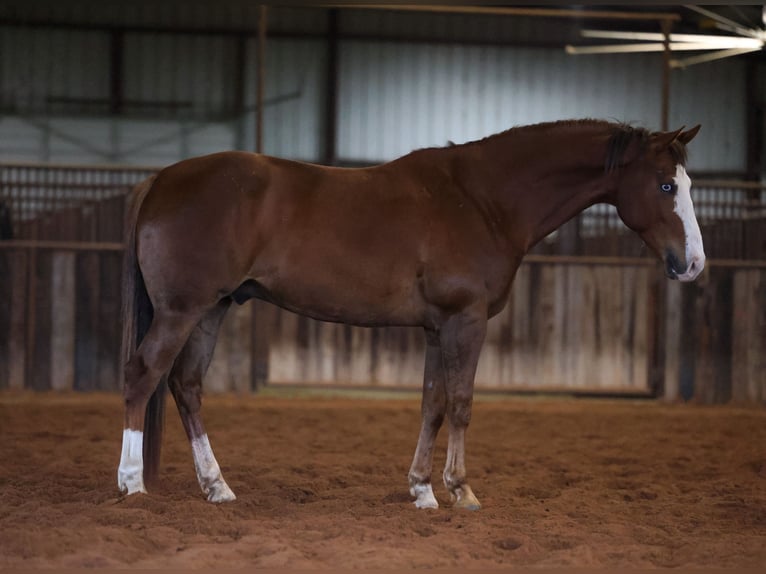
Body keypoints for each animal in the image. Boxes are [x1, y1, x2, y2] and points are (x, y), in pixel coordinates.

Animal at [117, 119, 704, 509]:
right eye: (666, 184)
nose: (693, 263)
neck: (483, 200)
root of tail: (159, 180)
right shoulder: (465, 320)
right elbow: (462, 403)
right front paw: (461, 490)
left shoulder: (436, 328)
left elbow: (433, 404)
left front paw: (422, 489)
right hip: (181, 310)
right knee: (143, 375)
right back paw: (132, 483)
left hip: (212, 309)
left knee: (187, 385)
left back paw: (217, 487)